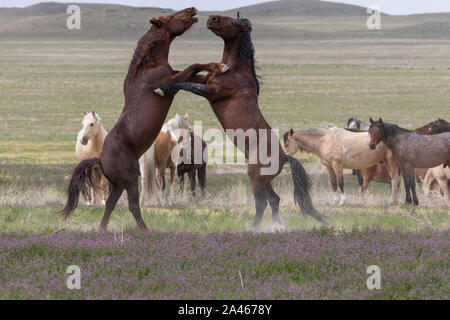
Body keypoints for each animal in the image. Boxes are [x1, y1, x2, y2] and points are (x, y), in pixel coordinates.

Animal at [60, 8, 229, 231]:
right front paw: (222, 66)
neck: (148, 68)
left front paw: (219, 69)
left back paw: (103, 230)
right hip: (131, 180)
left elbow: (197, 75)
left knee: (111, 205)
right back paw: (145, 230)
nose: (192, 10)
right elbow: (193, 67)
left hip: (119, 185)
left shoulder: (177, 76)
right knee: (132, 206)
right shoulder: (172, 79)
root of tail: (100, 158)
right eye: (171, 17)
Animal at [156, 13, 326, 228]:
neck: (236, 71)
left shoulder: (211, 92)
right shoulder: (205, 81)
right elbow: (190, 72)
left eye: (234, 22)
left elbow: (186, 84)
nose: (212, 18)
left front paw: (162, 89)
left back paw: (254, 228)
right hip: (264, 180)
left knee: (262, 203)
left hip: (255, 177)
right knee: (274, 200)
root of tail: (285, 157)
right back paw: (275, 226)